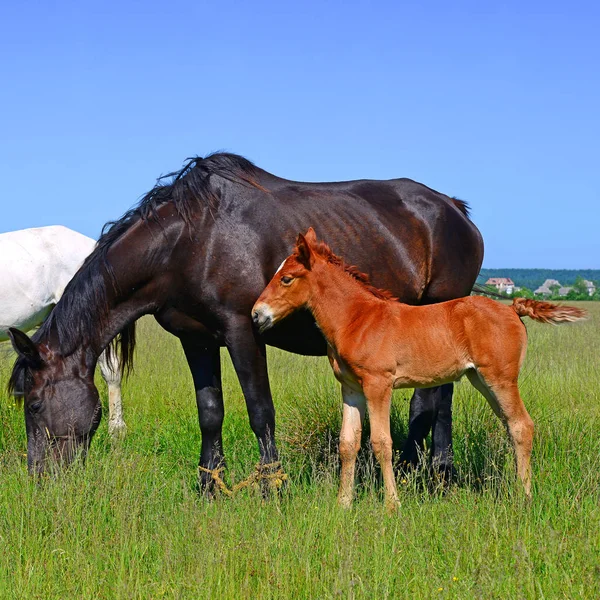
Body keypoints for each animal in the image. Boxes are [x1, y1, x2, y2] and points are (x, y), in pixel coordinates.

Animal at [252, 227, 584, 508]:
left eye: (286, 278)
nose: (257, 314)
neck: (357, 318)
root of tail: (513, 308)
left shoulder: (379, 384)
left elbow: (381, 443)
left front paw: (392, 505)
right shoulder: (351, 388)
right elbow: (348, 443)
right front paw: (343, 504)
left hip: (501, 379)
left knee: (522, 426)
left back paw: (524, 497)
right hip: (481, 379)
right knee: (511, 425)